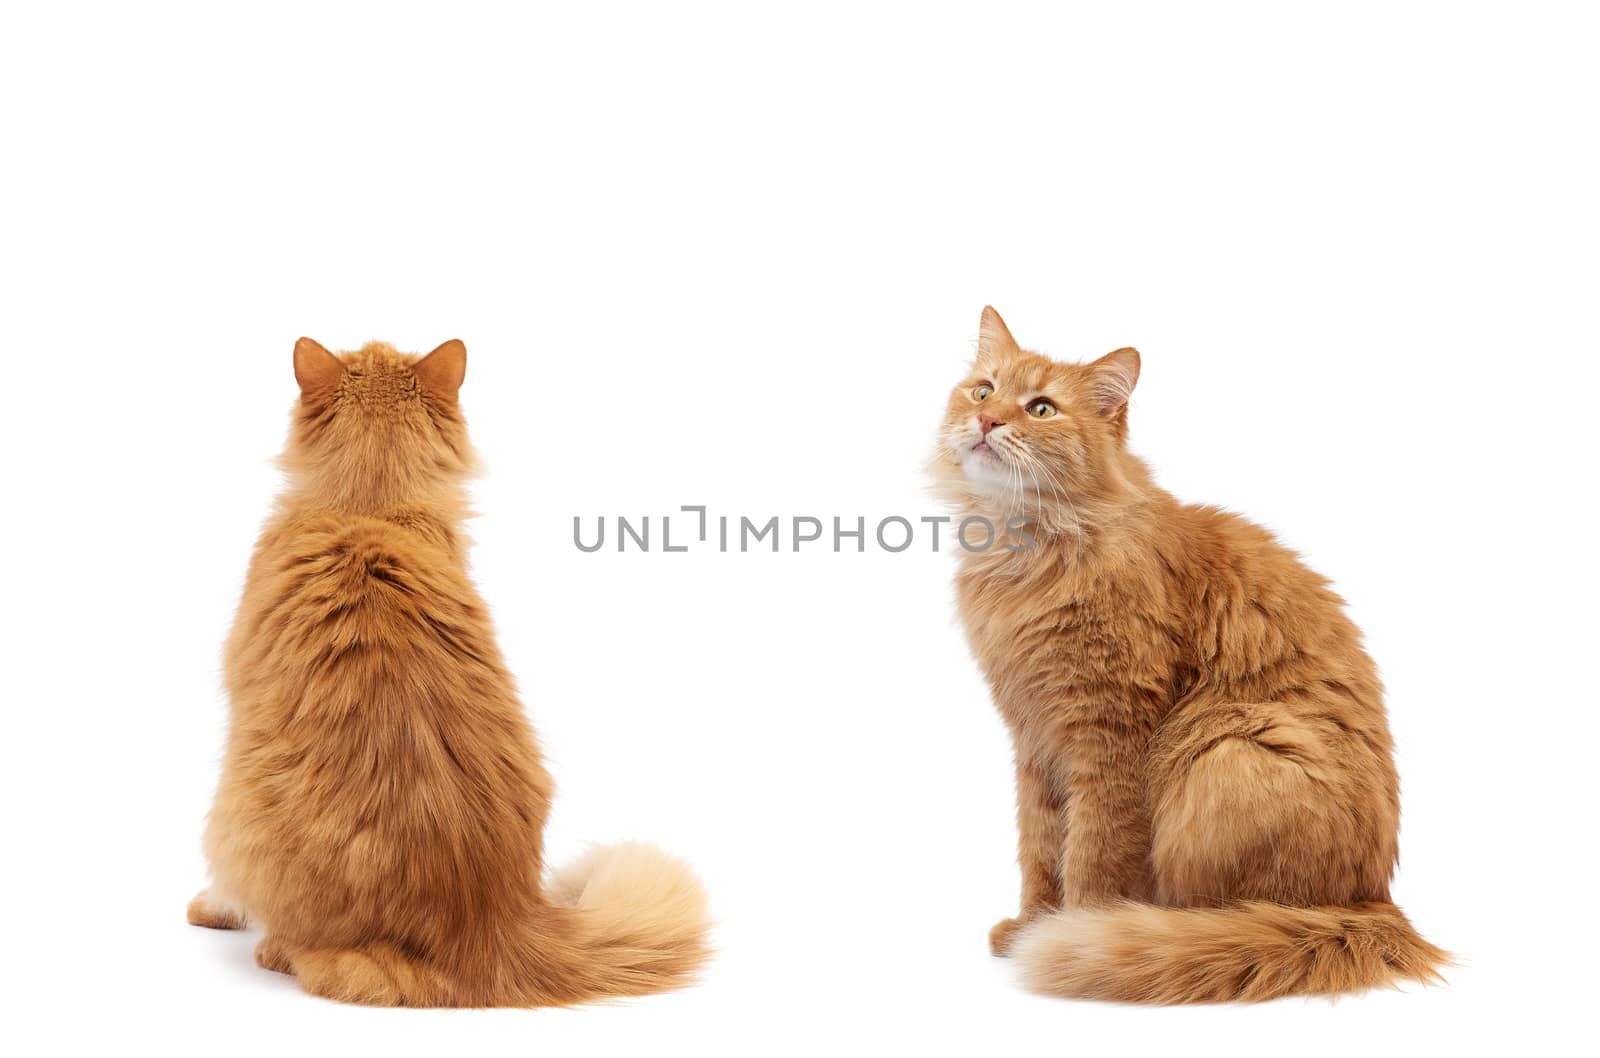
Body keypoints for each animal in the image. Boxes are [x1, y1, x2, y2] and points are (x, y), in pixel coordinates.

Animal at [934, 305, 1452, 998]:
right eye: (983, 391)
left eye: (1041, 408)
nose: (988, 421)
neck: (1029, 552)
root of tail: (1372, 904)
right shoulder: (1034, 741)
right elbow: (1039, 851)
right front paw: (1029, 924)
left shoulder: (1109, 736)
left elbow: (1090, 858)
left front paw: (1069, 931)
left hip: (1228, 747)